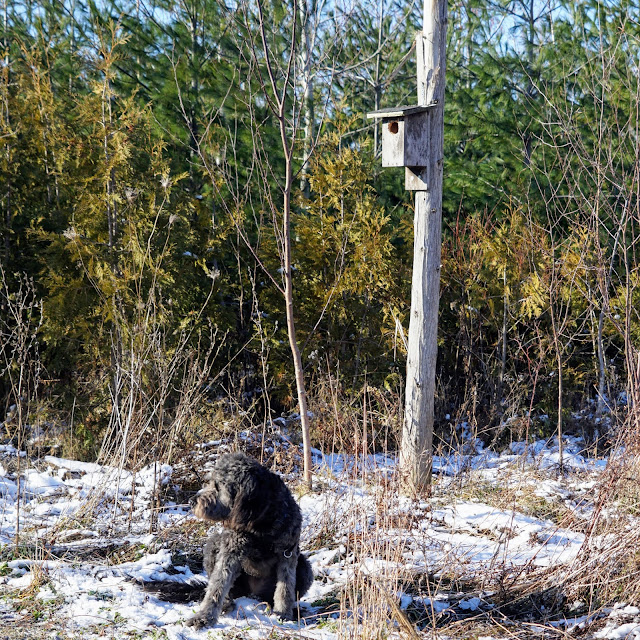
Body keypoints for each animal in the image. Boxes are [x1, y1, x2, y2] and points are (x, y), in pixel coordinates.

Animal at [184, 452, 314, 628]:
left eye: (218, 486)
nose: (191, 501)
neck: (261, 521)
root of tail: (253, 594)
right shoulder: (230, 550)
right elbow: (217, 584)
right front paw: (204, 616)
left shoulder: (288, 554)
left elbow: (285, 588)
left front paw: (284, 614)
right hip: (214, 545)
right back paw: (226, 603)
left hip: (305, 568)